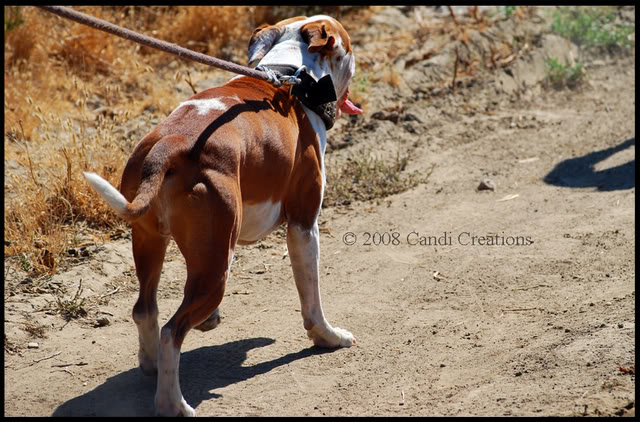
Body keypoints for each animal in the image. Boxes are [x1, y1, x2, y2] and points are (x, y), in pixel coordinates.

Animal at [84, 14, 362, 416]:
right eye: (349, 47)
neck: (292, 76)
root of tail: (171, 143)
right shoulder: (303, 225)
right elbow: (311, 296)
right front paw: (327, 336)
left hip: (153, 244)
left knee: (145, 310)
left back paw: (151, 364)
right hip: (216, 267)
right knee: (172, 331)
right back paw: (173, 404)